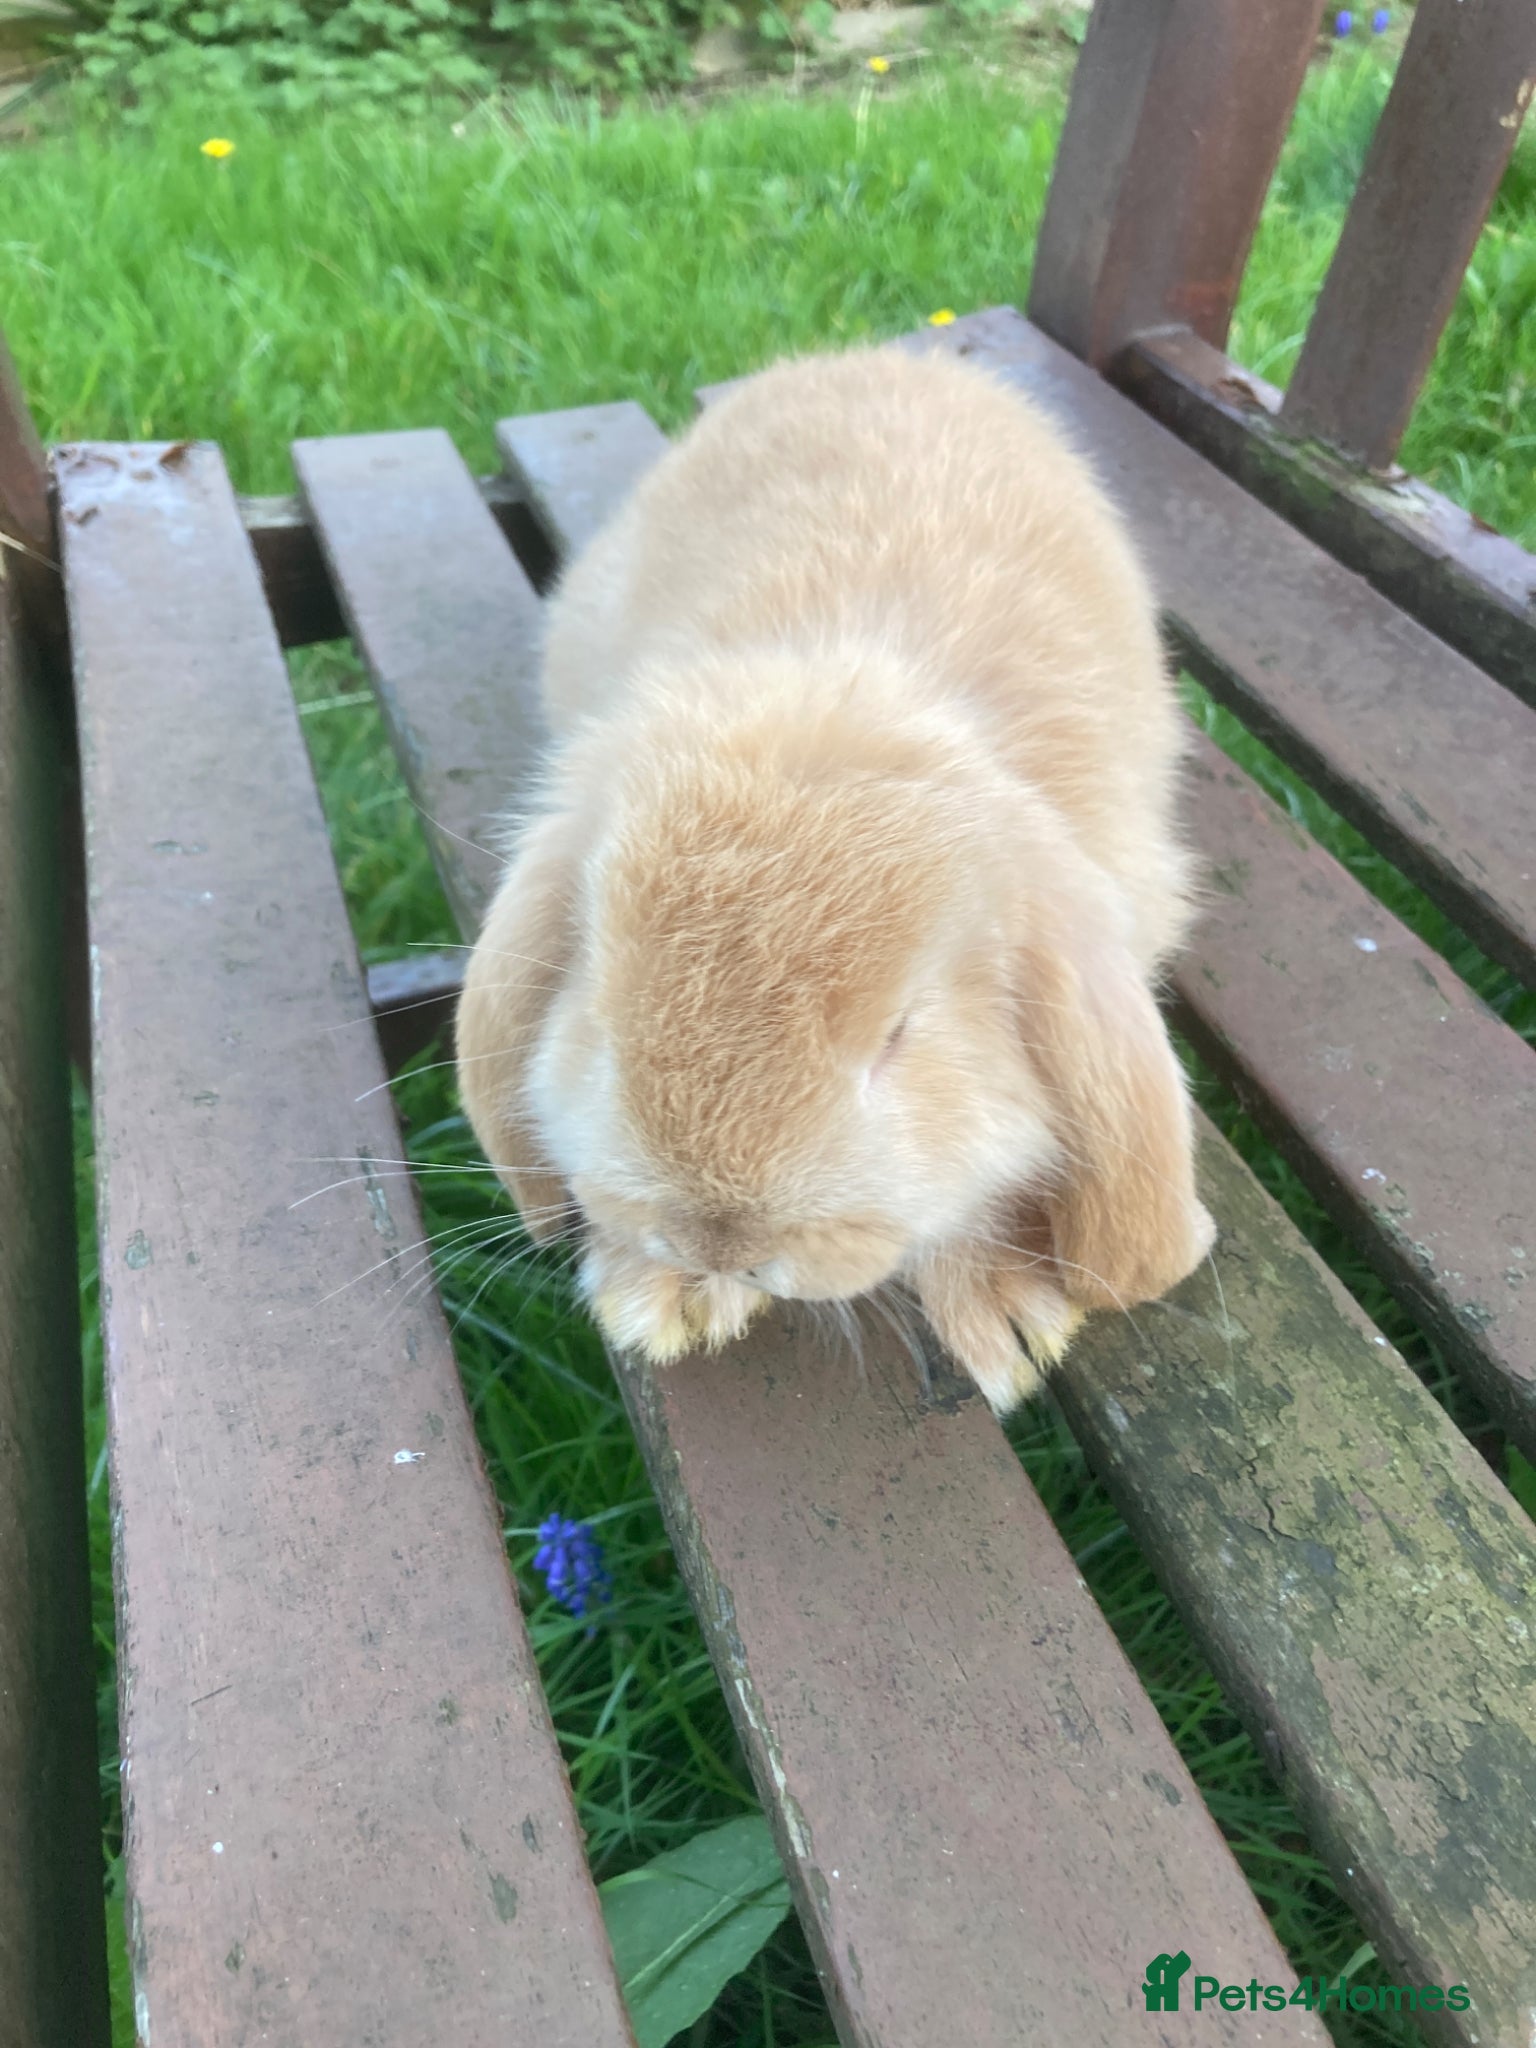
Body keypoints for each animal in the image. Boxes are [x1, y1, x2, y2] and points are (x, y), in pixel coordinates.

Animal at [456, 340, 1215, 1415]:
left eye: (900, 1036)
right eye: (597, 1009)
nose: (717, 1238)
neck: (844, 680)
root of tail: (893, 356)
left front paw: (1007, 1318)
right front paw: (665, 1302)